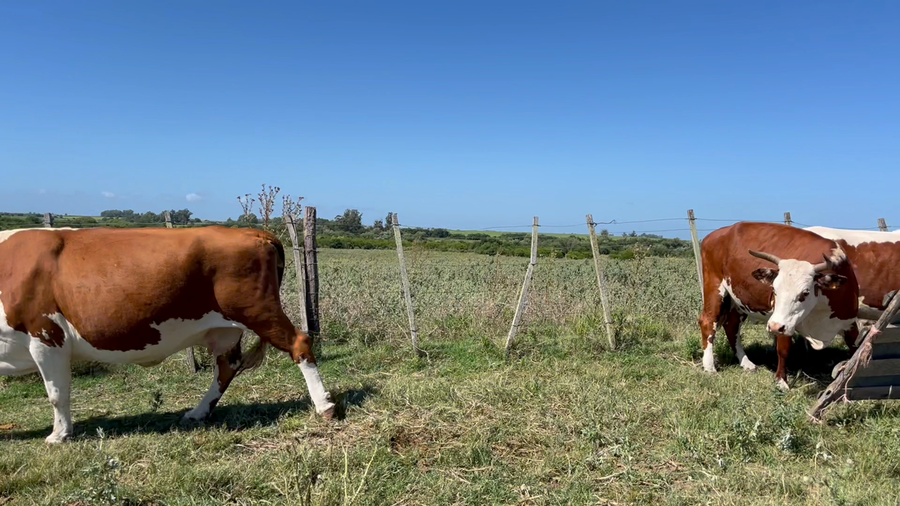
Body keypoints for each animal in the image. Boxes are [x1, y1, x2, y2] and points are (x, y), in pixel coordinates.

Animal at [0, 226, 335, 443]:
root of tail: (255, 232)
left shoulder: (45, 334)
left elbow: (57, 393)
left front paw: (59, 434)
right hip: (227, 328)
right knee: (226, 367)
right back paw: (198, 412)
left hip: (257, 310)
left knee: (299, 342)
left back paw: (325, 406)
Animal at [698, 222, 859, 389]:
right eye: (774, 289)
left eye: (805, 292)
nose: (774, 326)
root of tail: (716, 234)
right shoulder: (783, 322)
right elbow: (783, 349)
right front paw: (781, 381)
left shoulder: (848, 320)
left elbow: (856, 348)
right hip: (715, 288)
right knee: (708, 322)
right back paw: (709, 366)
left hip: (739, 300)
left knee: (732, 326)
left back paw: (746, 363)